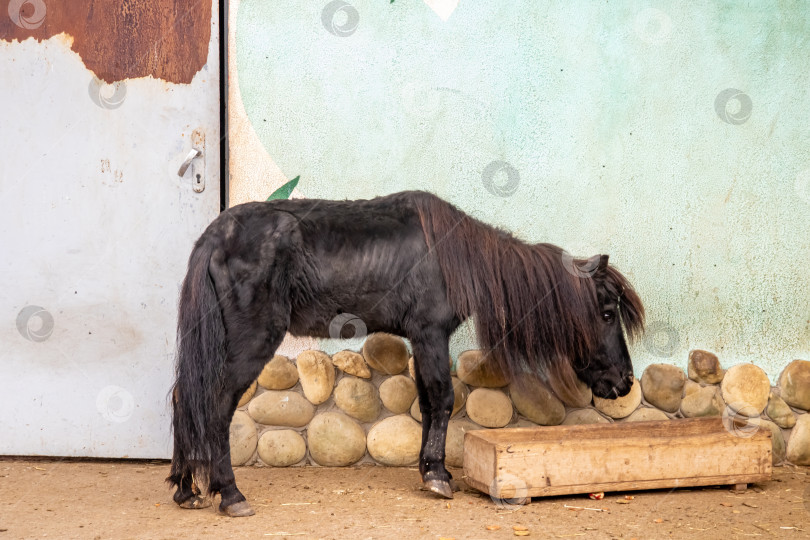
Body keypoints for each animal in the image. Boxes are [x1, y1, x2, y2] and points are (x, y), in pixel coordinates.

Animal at [166, 190, 644, 516]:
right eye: (606, 312)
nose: (623, 382)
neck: (454, 256)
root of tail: (216, 235)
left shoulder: (420, 338)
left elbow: (428, 400)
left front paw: (430, 469)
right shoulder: (431, 333)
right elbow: (443, 398)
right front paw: (437, 477)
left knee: (186, 400)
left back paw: (187, 489)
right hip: (252, 343)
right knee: (214, 406)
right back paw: (229, 493)